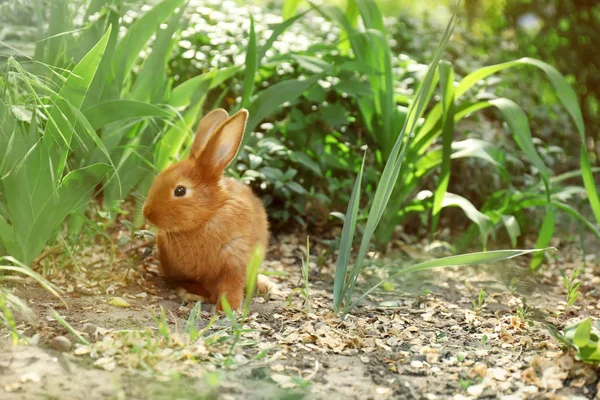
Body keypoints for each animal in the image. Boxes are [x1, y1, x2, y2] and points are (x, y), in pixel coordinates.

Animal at [143, 108, 276, 310]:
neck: (208, 217)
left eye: (180, 190)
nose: (147, 213)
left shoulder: (235, 260)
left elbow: (232, 285)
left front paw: (228, 307)